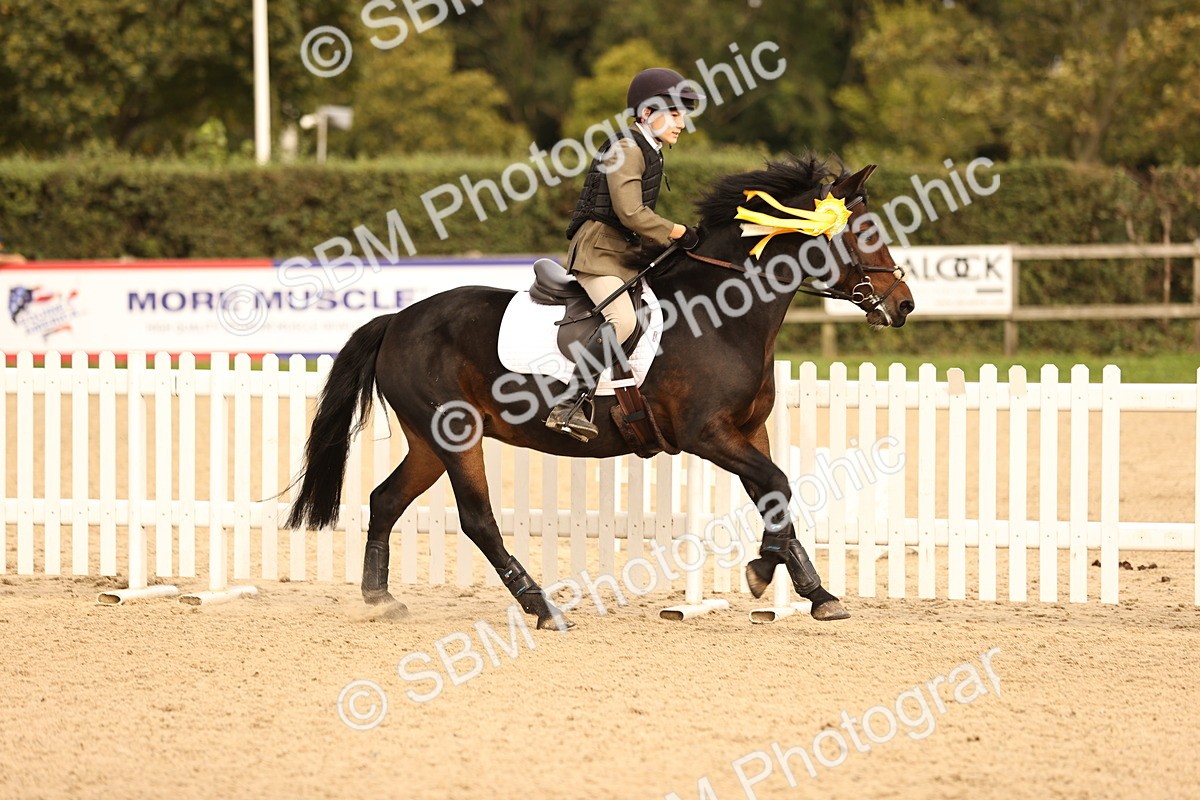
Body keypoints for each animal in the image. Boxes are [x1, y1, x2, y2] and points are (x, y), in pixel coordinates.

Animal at [285, 154, 915, 629]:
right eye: (862, 232)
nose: (904, 304)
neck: (725, 313)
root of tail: (397, 319)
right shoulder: (707, 434)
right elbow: (780, 483)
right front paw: (764, 574)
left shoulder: (746, 430)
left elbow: (777, 496)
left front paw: (816, 594)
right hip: (457, 436)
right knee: (477, 520)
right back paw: (542, 608)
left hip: (428, 442)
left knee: (385, 500)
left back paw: (379, 600)